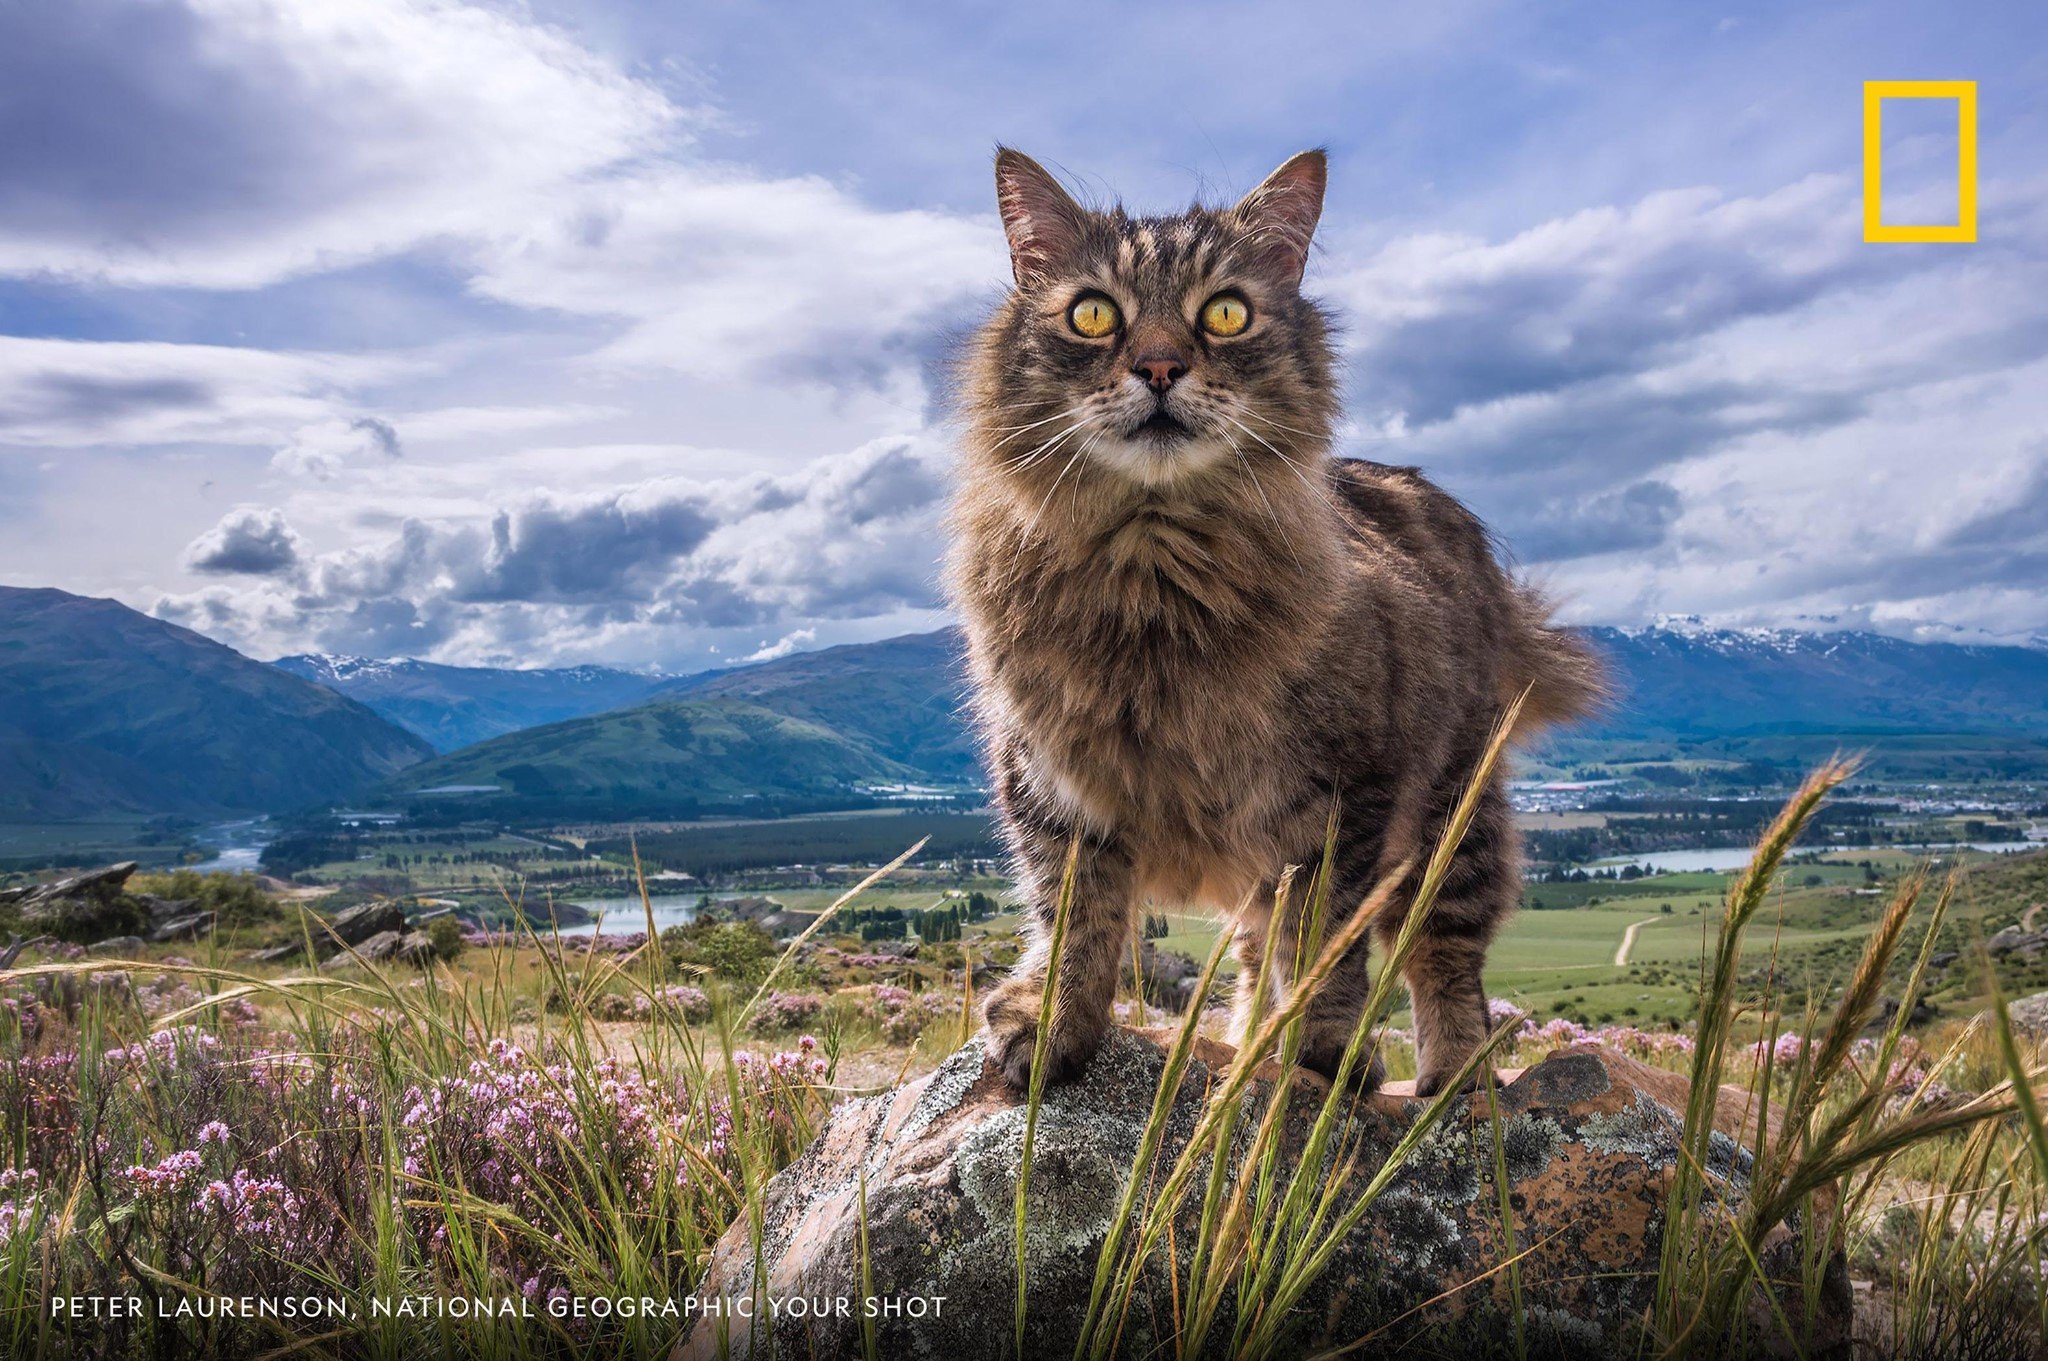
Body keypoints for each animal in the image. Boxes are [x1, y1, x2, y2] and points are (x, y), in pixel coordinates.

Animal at [950, 146, 1605, 1096]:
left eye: (1225, 313)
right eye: (1092, 313)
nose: (1158, 368)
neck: (1153, 579)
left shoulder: (1339, 799)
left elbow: (1325, 944)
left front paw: (1322, 1050)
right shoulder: (1052, 789)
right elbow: (1075, 923)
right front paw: (1052, 1025)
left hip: (1457, 817)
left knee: (1444, 959)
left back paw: (1449, 1079)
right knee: (1259, 957)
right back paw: (1245, 1040)